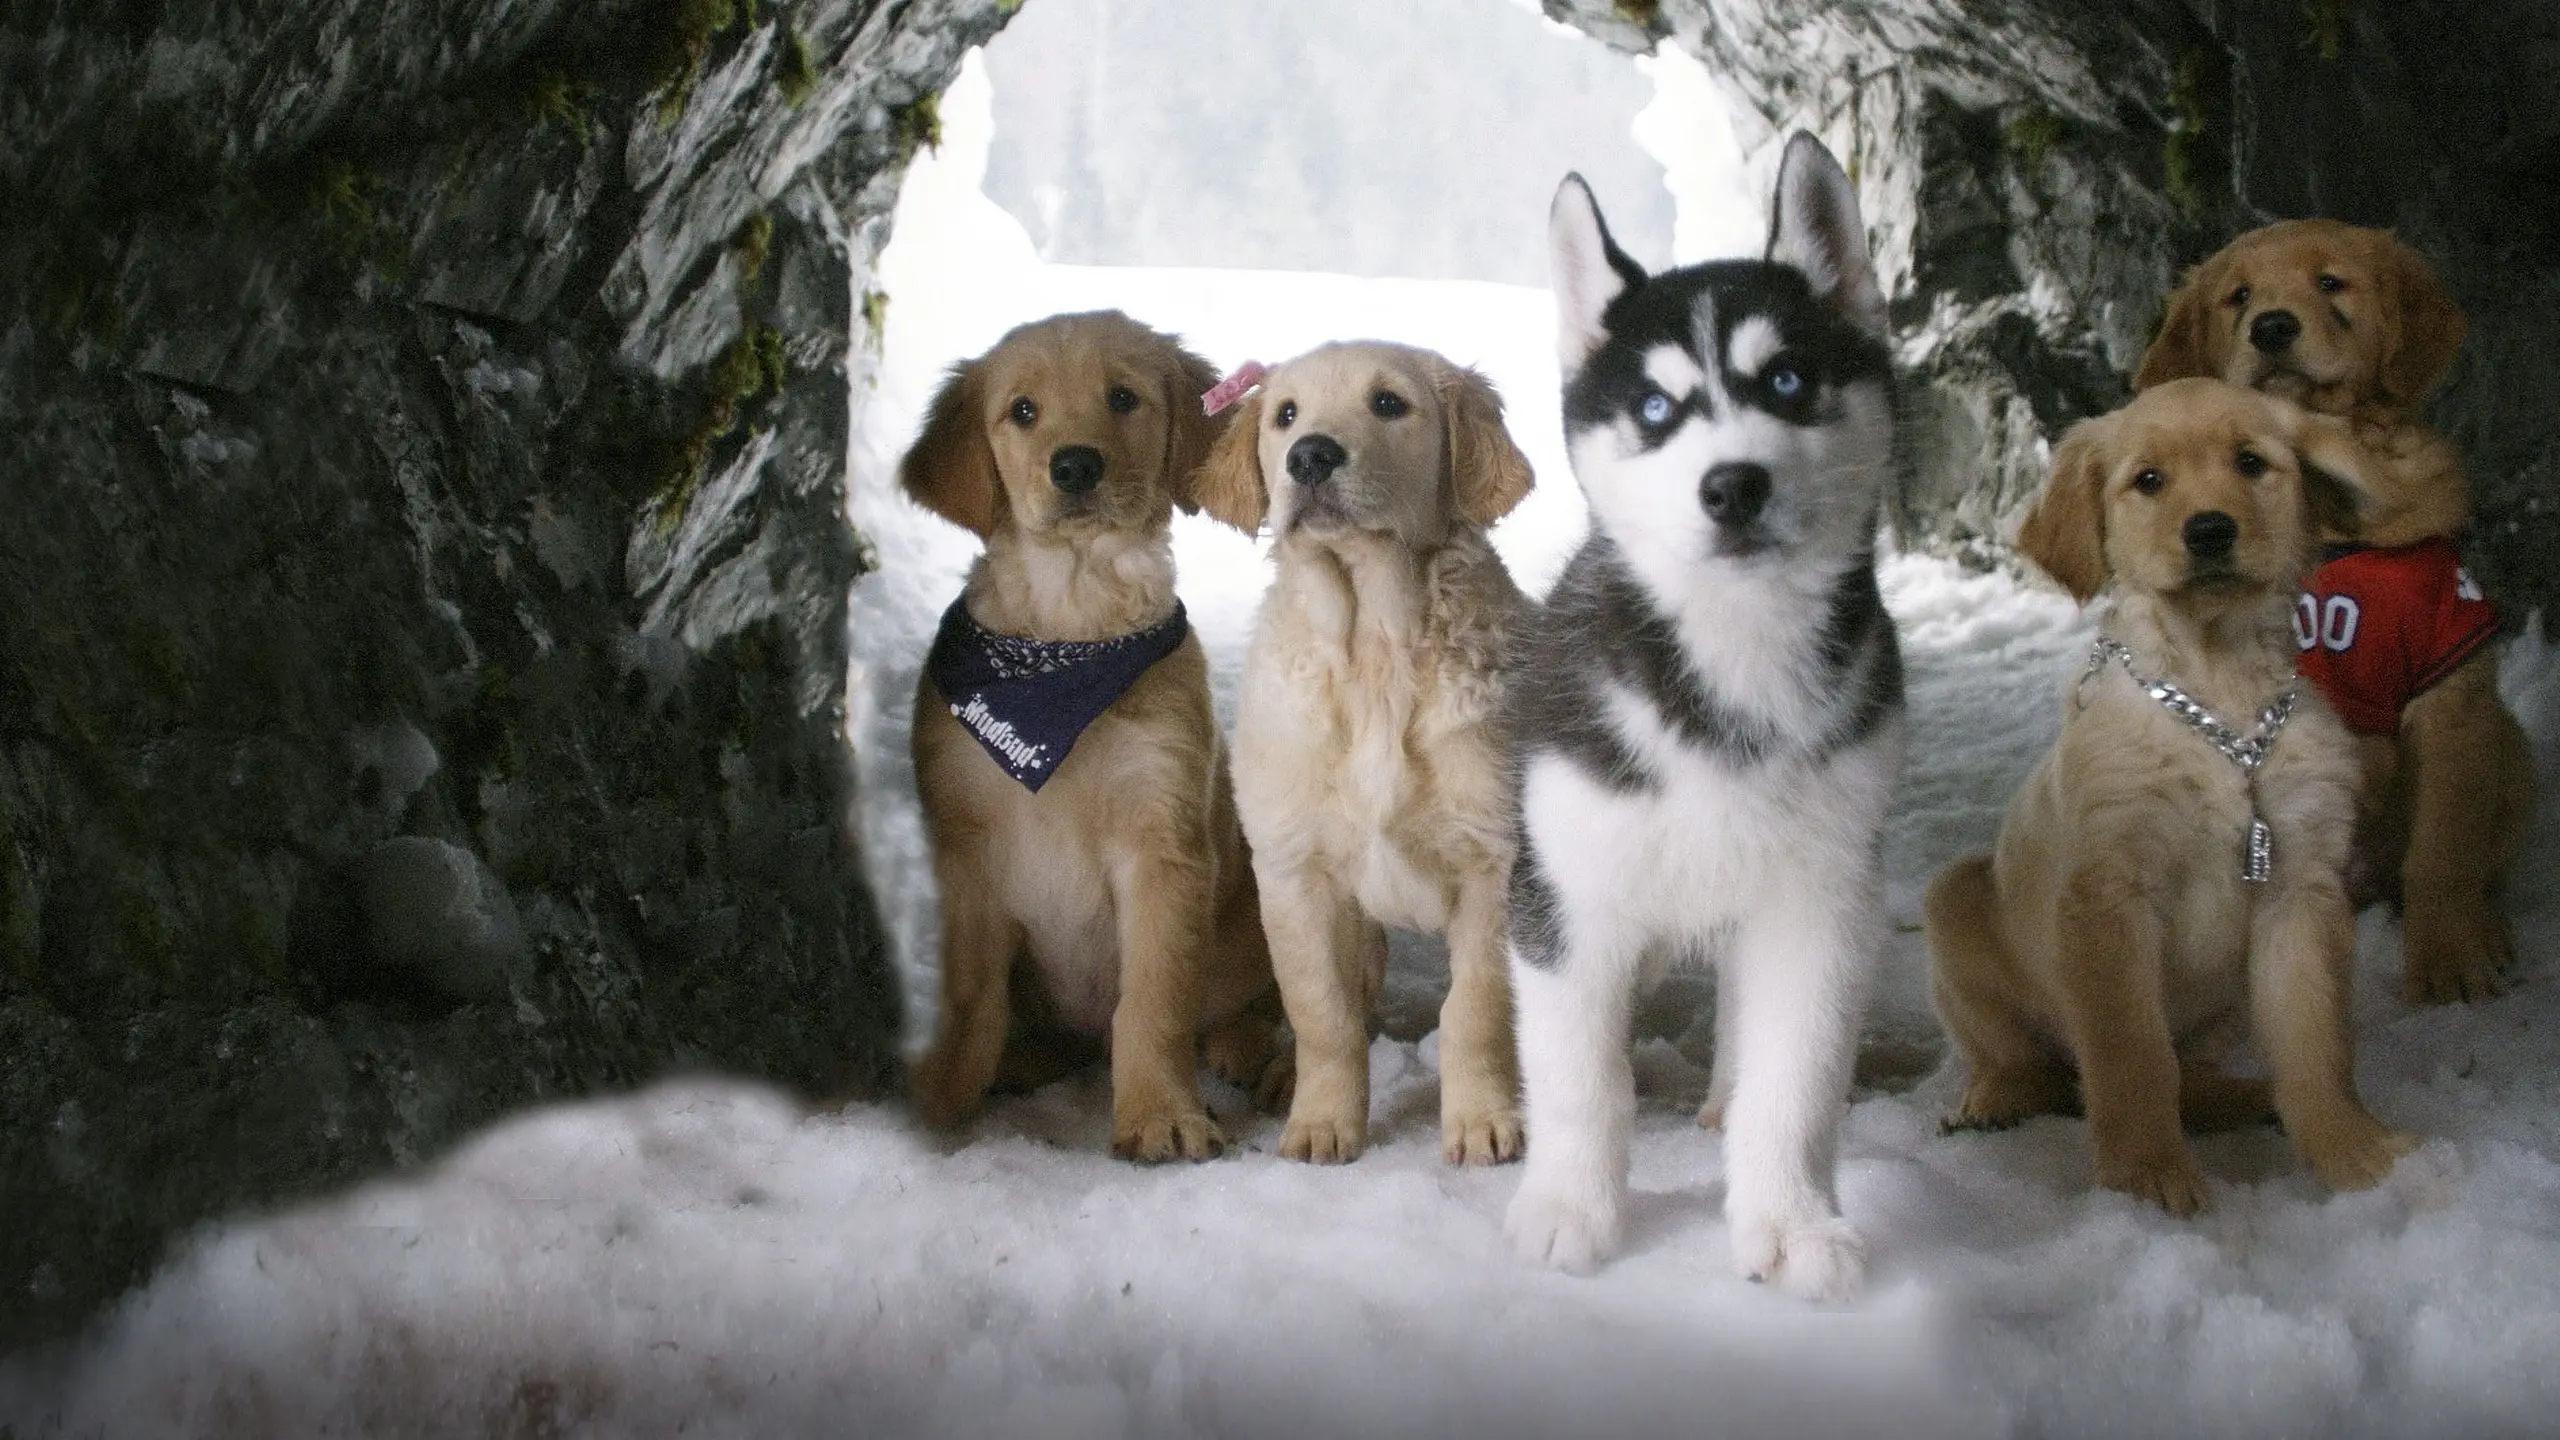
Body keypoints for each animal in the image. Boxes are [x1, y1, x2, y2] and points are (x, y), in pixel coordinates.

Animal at [901, 308, 1290, 1158]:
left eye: (1122, 398)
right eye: (1022, 411)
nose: (1075, 466)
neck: (1070, 632)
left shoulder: (1161, 837)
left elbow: (1153, 1001)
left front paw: (1160, 1114)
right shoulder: (966, 846)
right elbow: (969, 997)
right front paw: (940, 1099)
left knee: (1255, 1003)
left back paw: (1253, 1053)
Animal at [1187, 340, 1525, 1158]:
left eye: (1390, 404)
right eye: (1285, 414)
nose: (1310, 456)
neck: (1373, 644)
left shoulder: (1495, 864)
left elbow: (1475, 1010)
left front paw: (1482, 1121)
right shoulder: (1294, 871)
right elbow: (1323, 1012)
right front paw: (1321, 1122)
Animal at [1505, 137, 1914, 1301]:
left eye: (1787, 381)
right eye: (1655, 409)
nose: (1733, 485)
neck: (1734, 656)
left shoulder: (1822, 897)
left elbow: (1798, 1080)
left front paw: (1790, 1222)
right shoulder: (1563, 898)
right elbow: (1580, 1081)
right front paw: (1571, 1210)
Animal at [1925, 376, 2416, 1204]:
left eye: (2251, 463)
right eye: (2148, 480)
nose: (2210, 531)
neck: (2220, 701)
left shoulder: (2301, 888)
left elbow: (2316, 1039)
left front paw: (2353, 1151)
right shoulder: (2110, 895)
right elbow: (2131, 1054)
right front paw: (2146, 1175)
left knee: (2190, 1073)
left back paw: (2245, 1099)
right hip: (1954, 899)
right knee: (2028, 1060)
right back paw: (1999, 1096)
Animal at [2129, 219, 2529, 999]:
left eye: (2330, 282)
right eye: (2239, 296)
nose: (2272, 327)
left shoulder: (2449, 677)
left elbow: (2443, 844)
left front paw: (2449, 959)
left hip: (2510, 748)